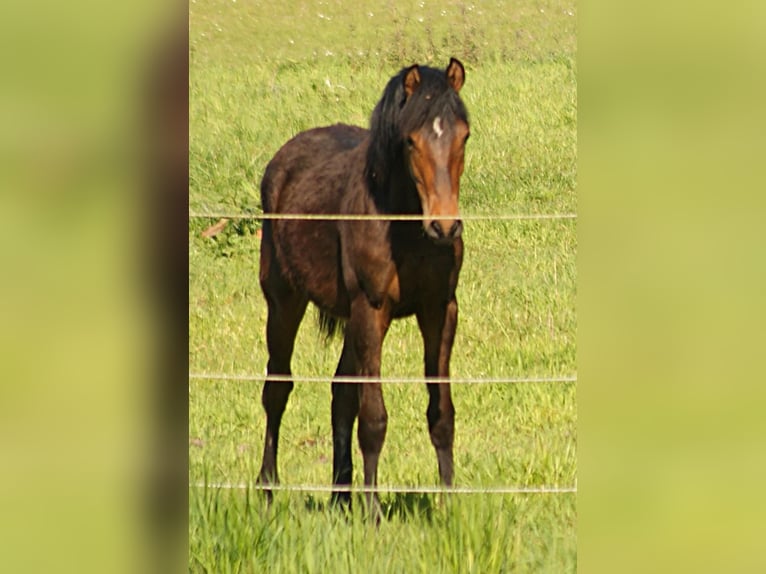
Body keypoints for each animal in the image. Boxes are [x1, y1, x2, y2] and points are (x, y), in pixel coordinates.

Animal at [258, 59, 472, 516]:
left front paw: (448, 505)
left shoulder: (440, 309)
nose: (445, 226)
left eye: (464, 135)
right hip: (284, 300)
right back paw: (266, 488)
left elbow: (441, 413)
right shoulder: (371, 310)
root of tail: (281, 160)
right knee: (277, 387)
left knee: (341, 392)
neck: (405, 227)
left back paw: (341, 496)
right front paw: (373, 512)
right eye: (410, 141)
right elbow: (373, 417)